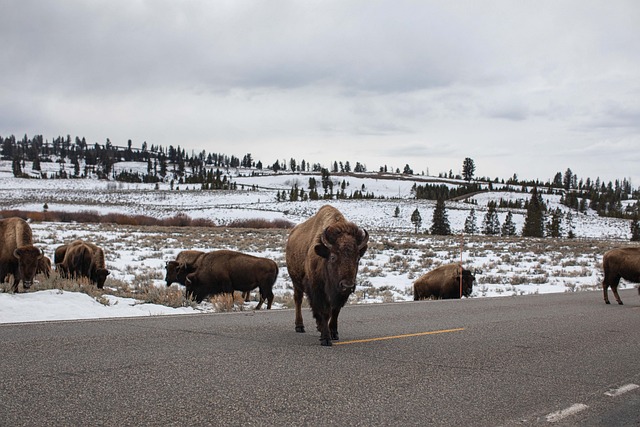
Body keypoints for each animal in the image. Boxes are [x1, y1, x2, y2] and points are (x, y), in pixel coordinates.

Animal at [286, 205, 370, 348]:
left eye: (357, 258)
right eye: (333, 257)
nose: (347, 285)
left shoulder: (339, 294)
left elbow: (335, 311)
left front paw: (334, 333)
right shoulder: (318, 290)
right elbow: (324, 312)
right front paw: (325, 338)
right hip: (296, 282)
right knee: (298, 300)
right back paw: (300, 326)